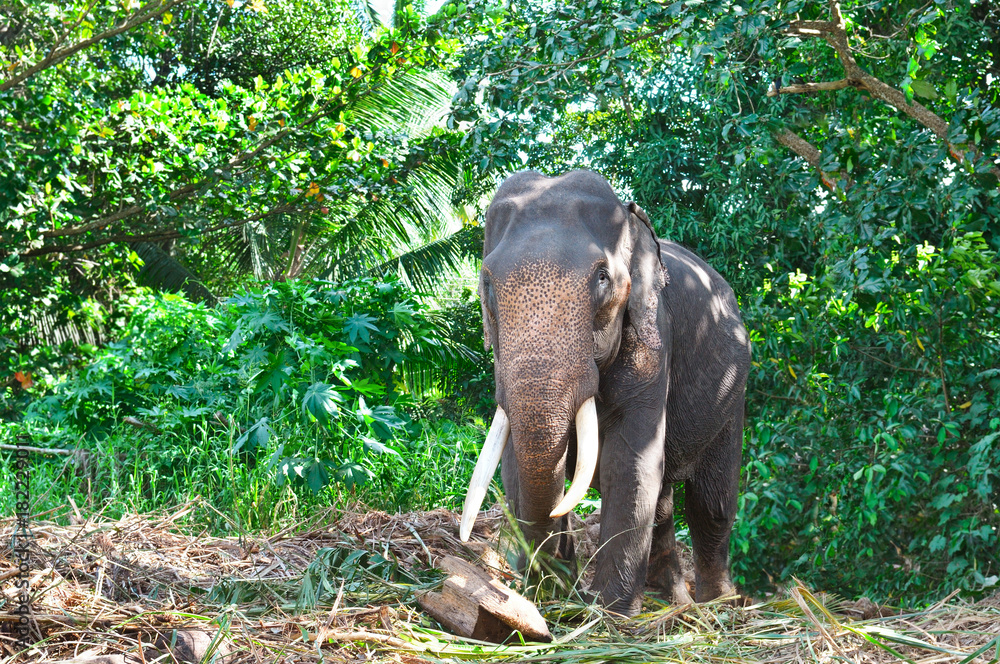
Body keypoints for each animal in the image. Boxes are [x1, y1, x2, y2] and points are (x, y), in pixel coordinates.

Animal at [458, 170, 751, 617]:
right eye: (487, 283)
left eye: (602, 278)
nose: (552, 582)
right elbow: (511, 463)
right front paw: (552, 592)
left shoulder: (654, 338)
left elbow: (629, 462)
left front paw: (606, 610)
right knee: (664, 503)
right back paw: (671, 602)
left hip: (733, 393)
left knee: (711, 503)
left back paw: (717, 607)